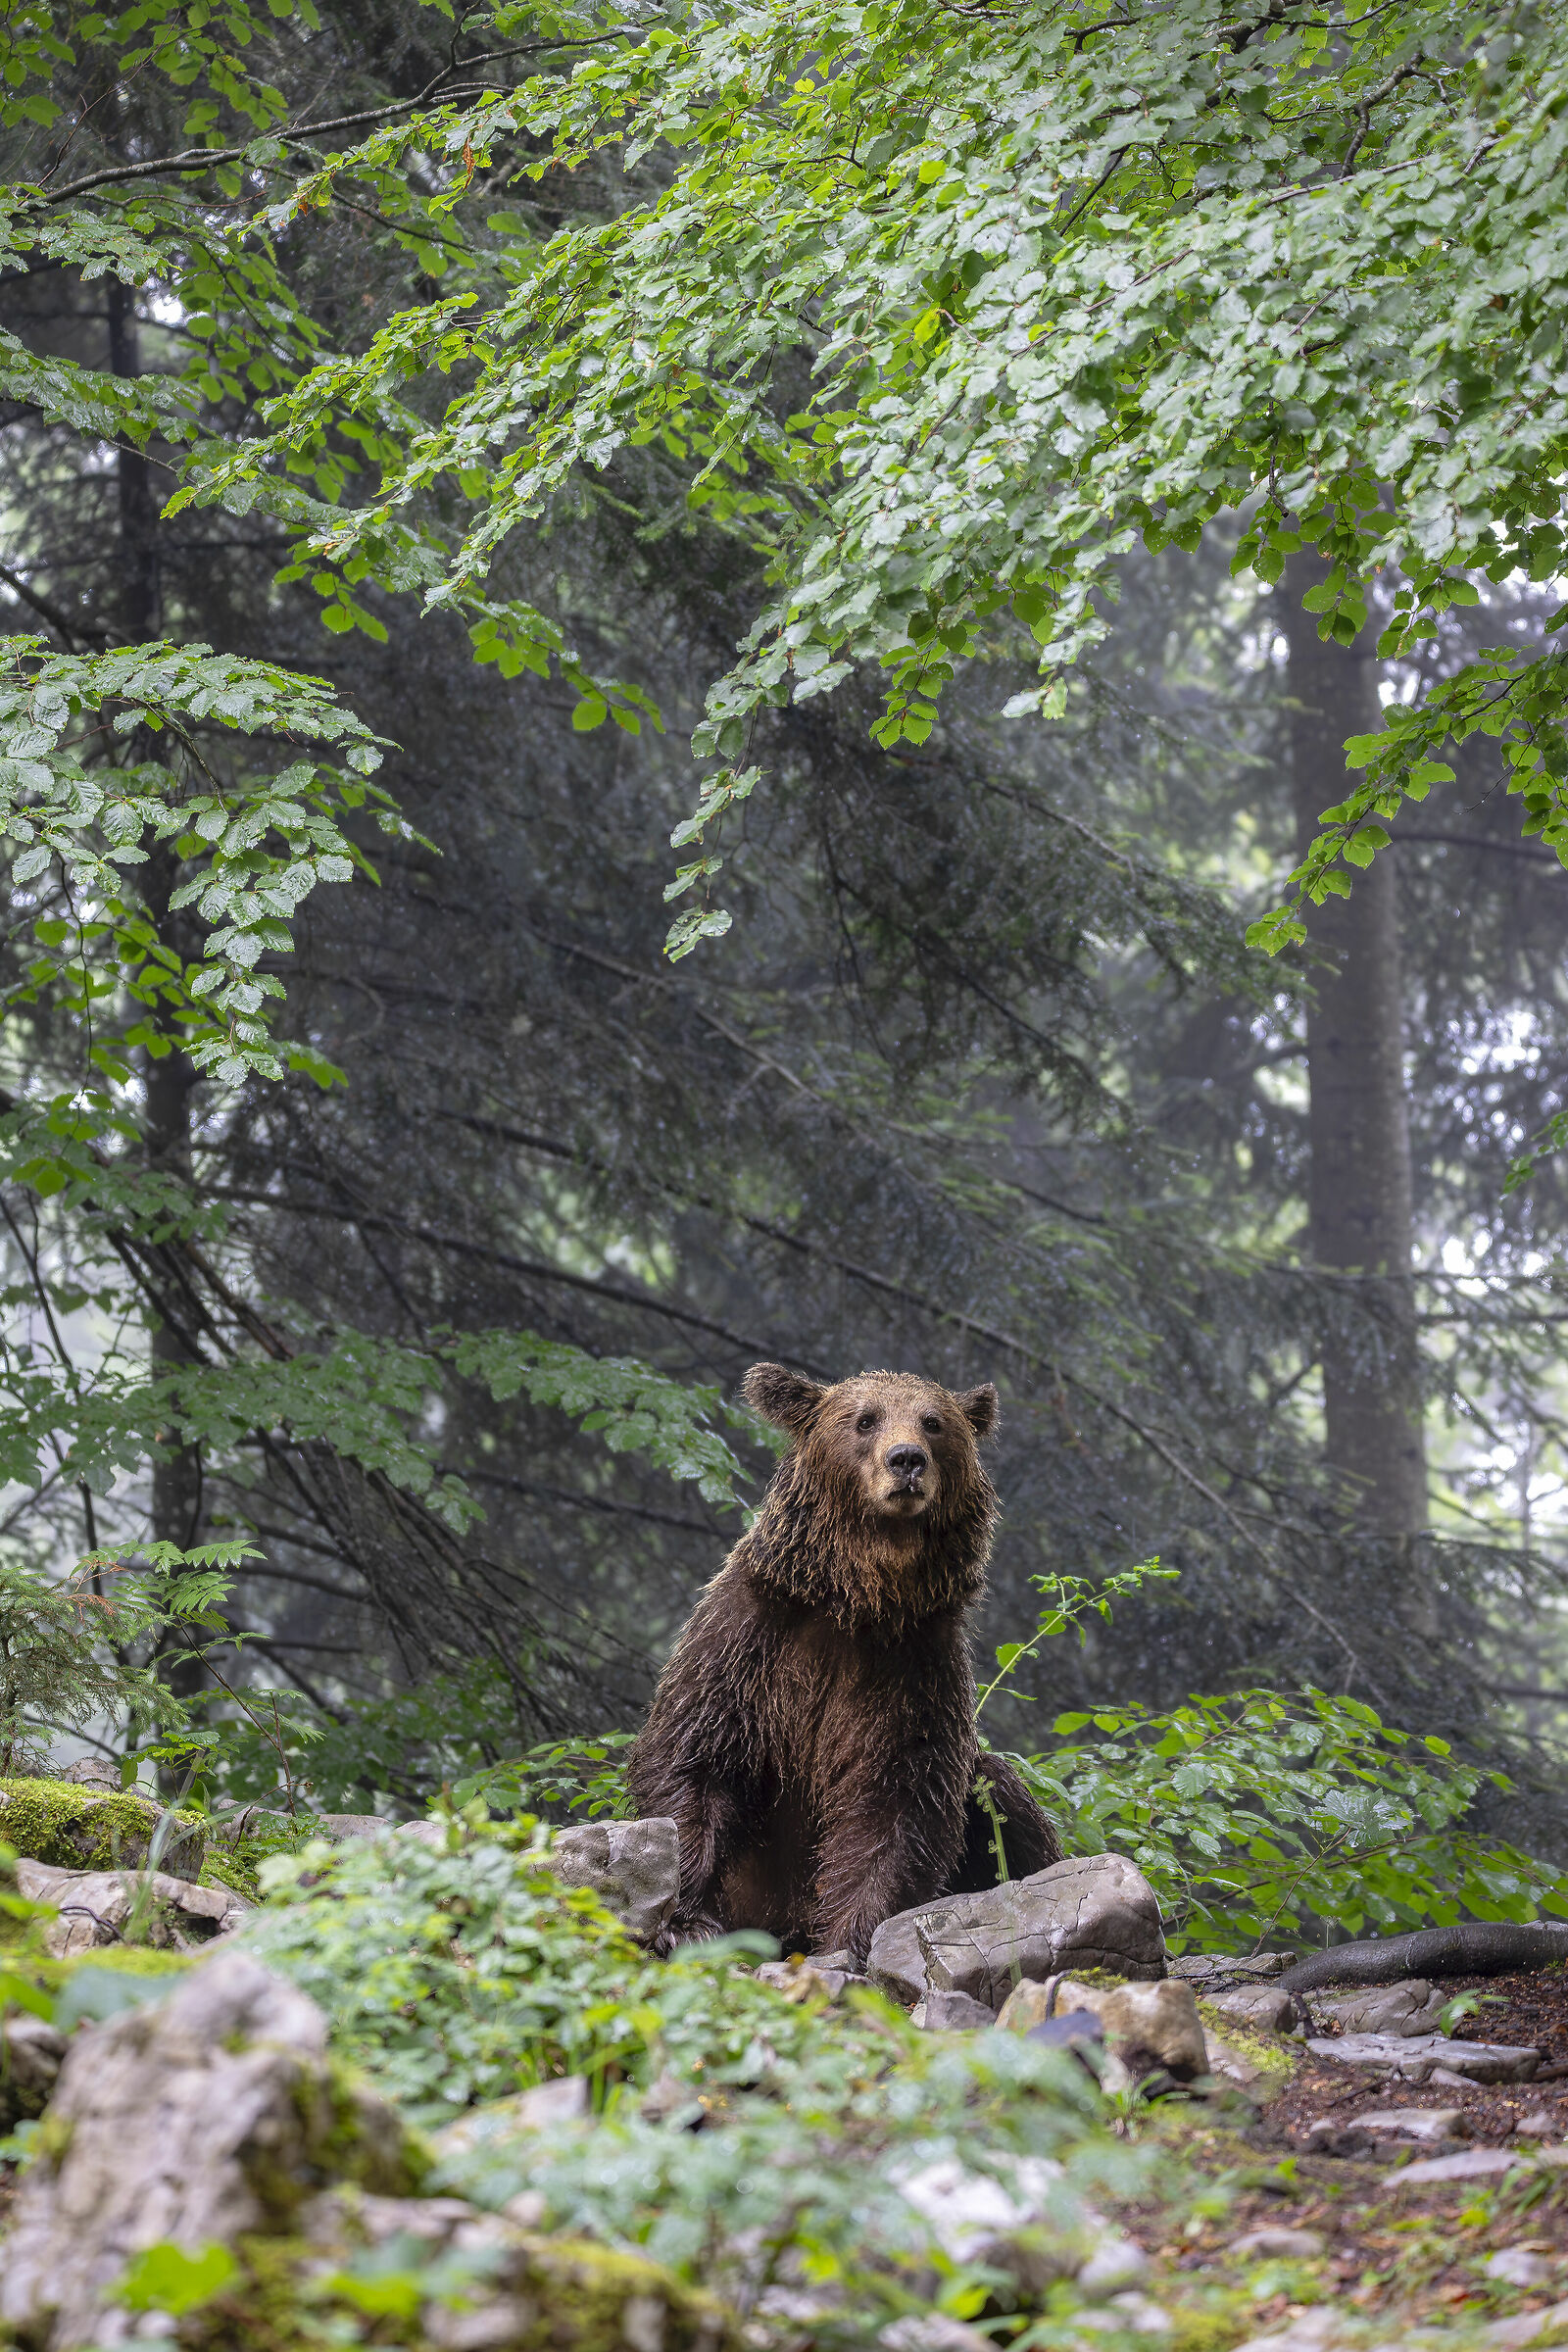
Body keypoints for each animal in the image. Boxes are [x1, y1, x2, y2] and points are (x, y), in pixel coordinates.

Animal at [627, 1361, 1062, 1967]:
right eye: (864, 1419)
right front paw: (685, 1922)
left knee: (1003, 1801)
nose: (907, 1460)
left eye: (933, 1422)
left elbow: (897, 1803)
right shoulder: (745, 1642)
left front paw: (851, 1943)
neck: (855, 1601)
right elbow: (695, 1760)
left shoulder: (909, 1671)